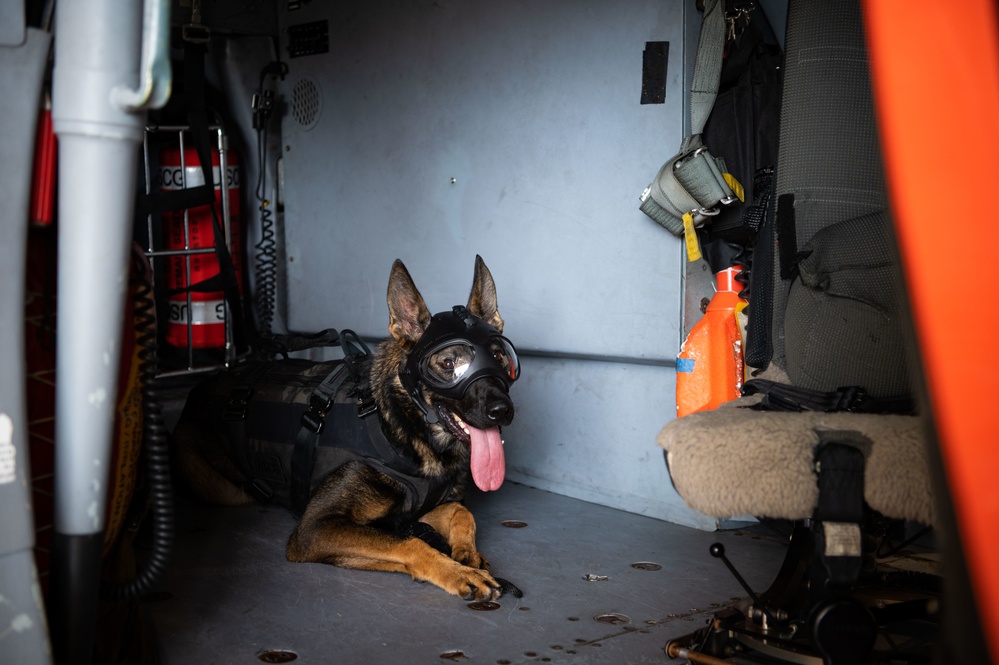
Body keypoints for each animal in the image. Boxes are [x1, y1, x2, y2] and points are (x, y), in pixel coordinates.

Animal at [177, 256, 524, 600]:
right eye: (450, 364)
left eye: (499, 356)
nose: (501, 411)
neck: (401, 429)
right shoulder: (316, 529)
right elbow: (411, 542)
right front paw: (457, 572)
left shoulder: (418, 509)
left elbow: (462, 513)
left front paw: (467, 554)